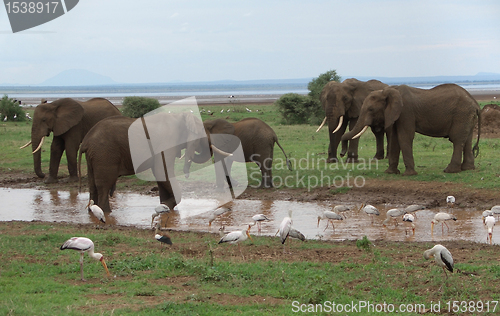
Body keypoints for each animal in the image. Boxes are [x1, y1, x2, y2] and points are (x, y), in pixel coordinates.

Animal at [78, 111, 217, 212]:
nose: (187, 173)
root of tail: (86, 141)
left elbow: (160, 174)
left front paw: (164, 206)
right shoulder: (168, 142)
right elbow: (162, 171)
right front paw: (166, 205)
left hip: (95, 156)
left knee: (92, 184)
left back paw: (92, 211)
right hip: (104, 154)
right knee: (104, 185)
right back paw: (106, 212)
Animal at [340, 83, 480, 175]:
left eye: (371, 109)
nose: (341, 154)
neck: (388, 91)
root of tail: (475, 103)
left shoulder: (405, 111)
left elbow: (404, 137)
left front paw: (409, 174)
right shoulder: (396, 114)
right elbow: (395, 138)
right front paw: (390, 172)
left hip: (461, 115)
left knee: (457, 140)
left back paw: (450, 171)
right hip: (467, 117)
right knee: (467, 140)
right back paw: (467, 169)